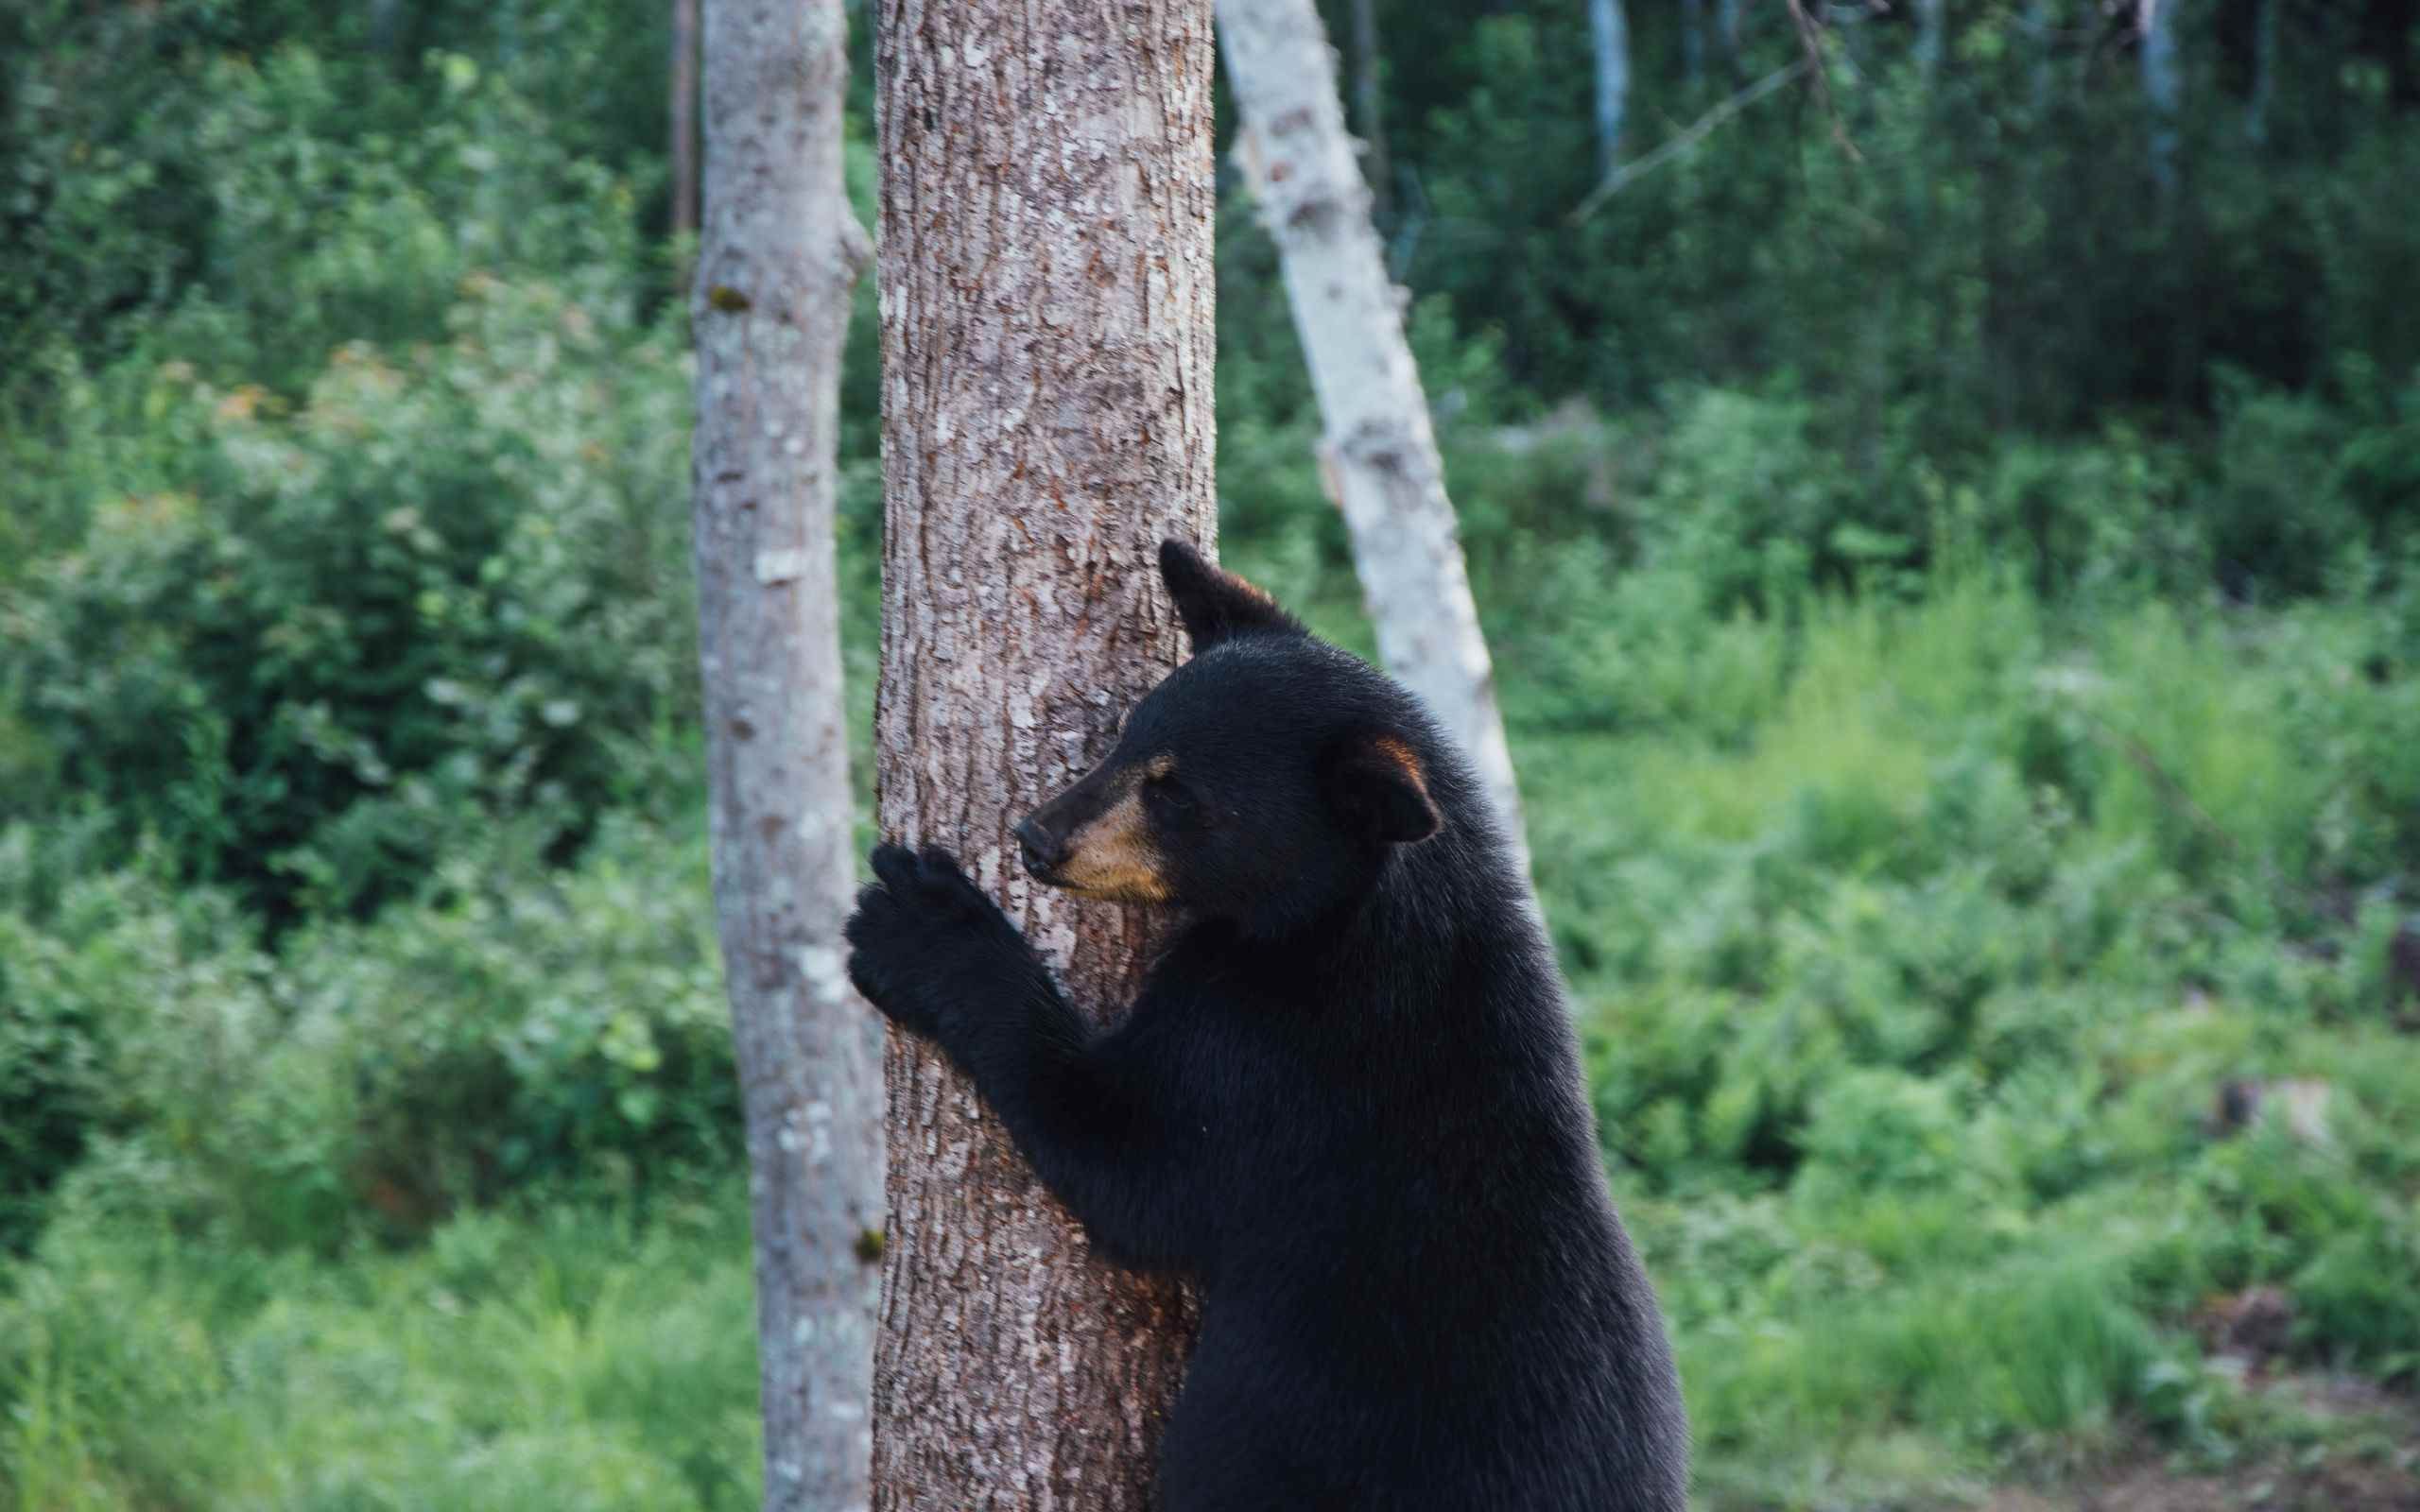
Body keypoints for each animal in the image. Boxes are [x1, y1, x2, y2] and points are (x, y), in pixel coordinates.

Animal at [847, 541, 1684, 1509]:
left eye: (1179, 797)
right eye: (1128, 737)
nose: (1036, 837)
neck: (1345, 919)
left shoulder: (1280, 1060)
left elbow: (1132, 1162)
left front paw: (919, 925)